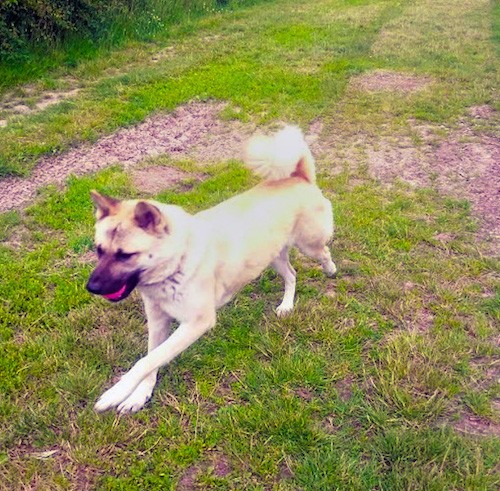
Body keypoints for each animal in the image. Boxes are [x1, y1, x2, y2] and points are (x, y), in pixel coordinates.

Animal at [87, 125, 336, 414]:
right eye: (99, 250)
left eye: (126, 255)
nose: (91, 287)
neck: (178, 260)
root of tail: (298, 177)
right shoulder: (158, 321)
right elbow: (151, 359)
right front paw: (140, 394)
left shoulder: (197, 323)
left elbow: (147, 360)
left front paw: (116, 392)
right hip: (271, 257)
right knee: (292, 275)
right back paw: (286, 305)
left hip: (309, 245)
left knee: (324, 253)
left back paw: (330, 269)